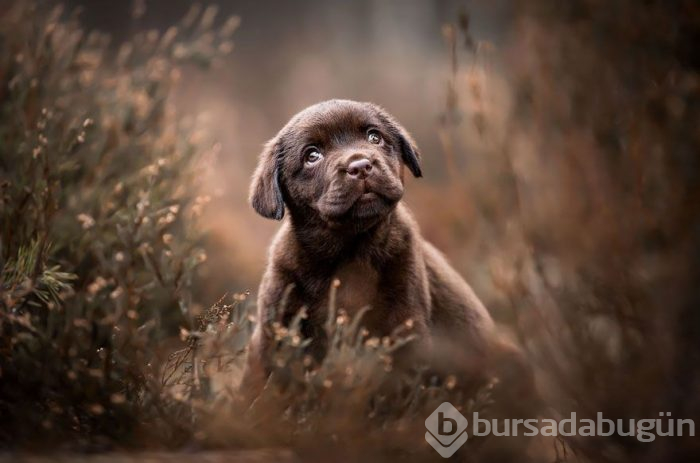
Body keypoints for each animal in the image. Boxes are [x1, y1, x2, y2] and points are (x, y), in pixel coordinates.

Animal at [246, 99, 498, 394]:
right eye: (312, 155)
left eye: (374, 137)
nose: (361, 166)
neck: (350, 250)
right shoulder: (275, 328)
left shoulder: (404, 321)